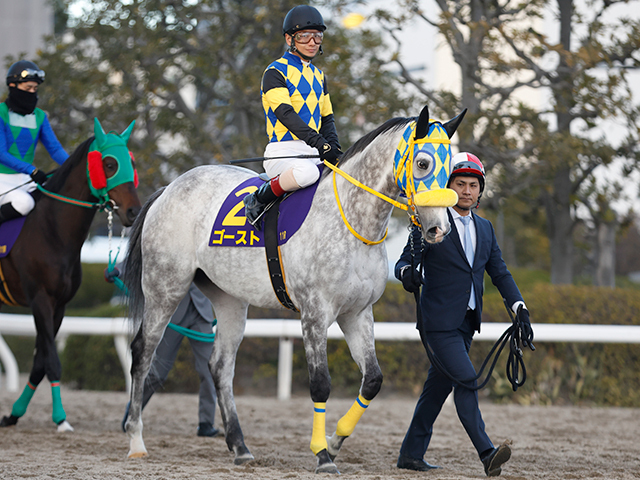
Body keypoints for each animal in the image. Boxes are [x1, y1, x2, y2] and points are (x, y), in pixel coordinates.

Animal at [0, 119, 141, 432]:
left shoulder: (59, 305)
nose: (134, 211)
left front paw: (13, 414)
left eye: (132, 162)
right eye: (110, 163)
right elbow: (52, 362)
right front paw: (61, 419)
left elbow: (40, 363)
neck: (50, 231)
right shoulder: (40, 299)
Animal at [124, 106, 464, 472]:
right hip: (165, 287)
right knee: (143, 352)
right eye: (424, 162)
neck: (350, 222)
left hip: (229, 300)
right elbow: (320, 384)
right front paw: (322, 454)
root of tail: (169, 187)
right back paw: (136, 440)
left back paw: (240, 446)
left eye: (451, 167)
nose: (439, 229)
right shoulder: (314, 313)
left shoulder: (357, 312)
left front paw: (334, 441)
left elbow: (373, 380)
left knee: (220, 366)